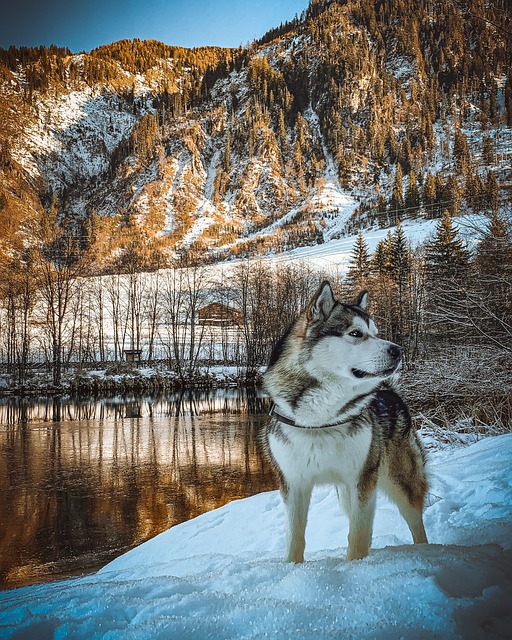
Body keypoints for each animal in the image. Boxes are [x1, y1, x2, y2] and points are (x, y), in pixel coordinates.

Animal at [264, 282, 428, 564]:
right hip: (345, 494)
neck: (320, 421)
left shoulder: (362, 479)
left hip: (401, 481)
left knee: (415, 521)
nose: (398, 350)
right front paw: (292, 567)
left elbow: (358, 535)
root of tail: (390, 391)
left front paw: (355, 565)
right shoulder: (294, 483)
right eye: (355, 333)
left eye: (375, 333)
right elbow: (295, 537)